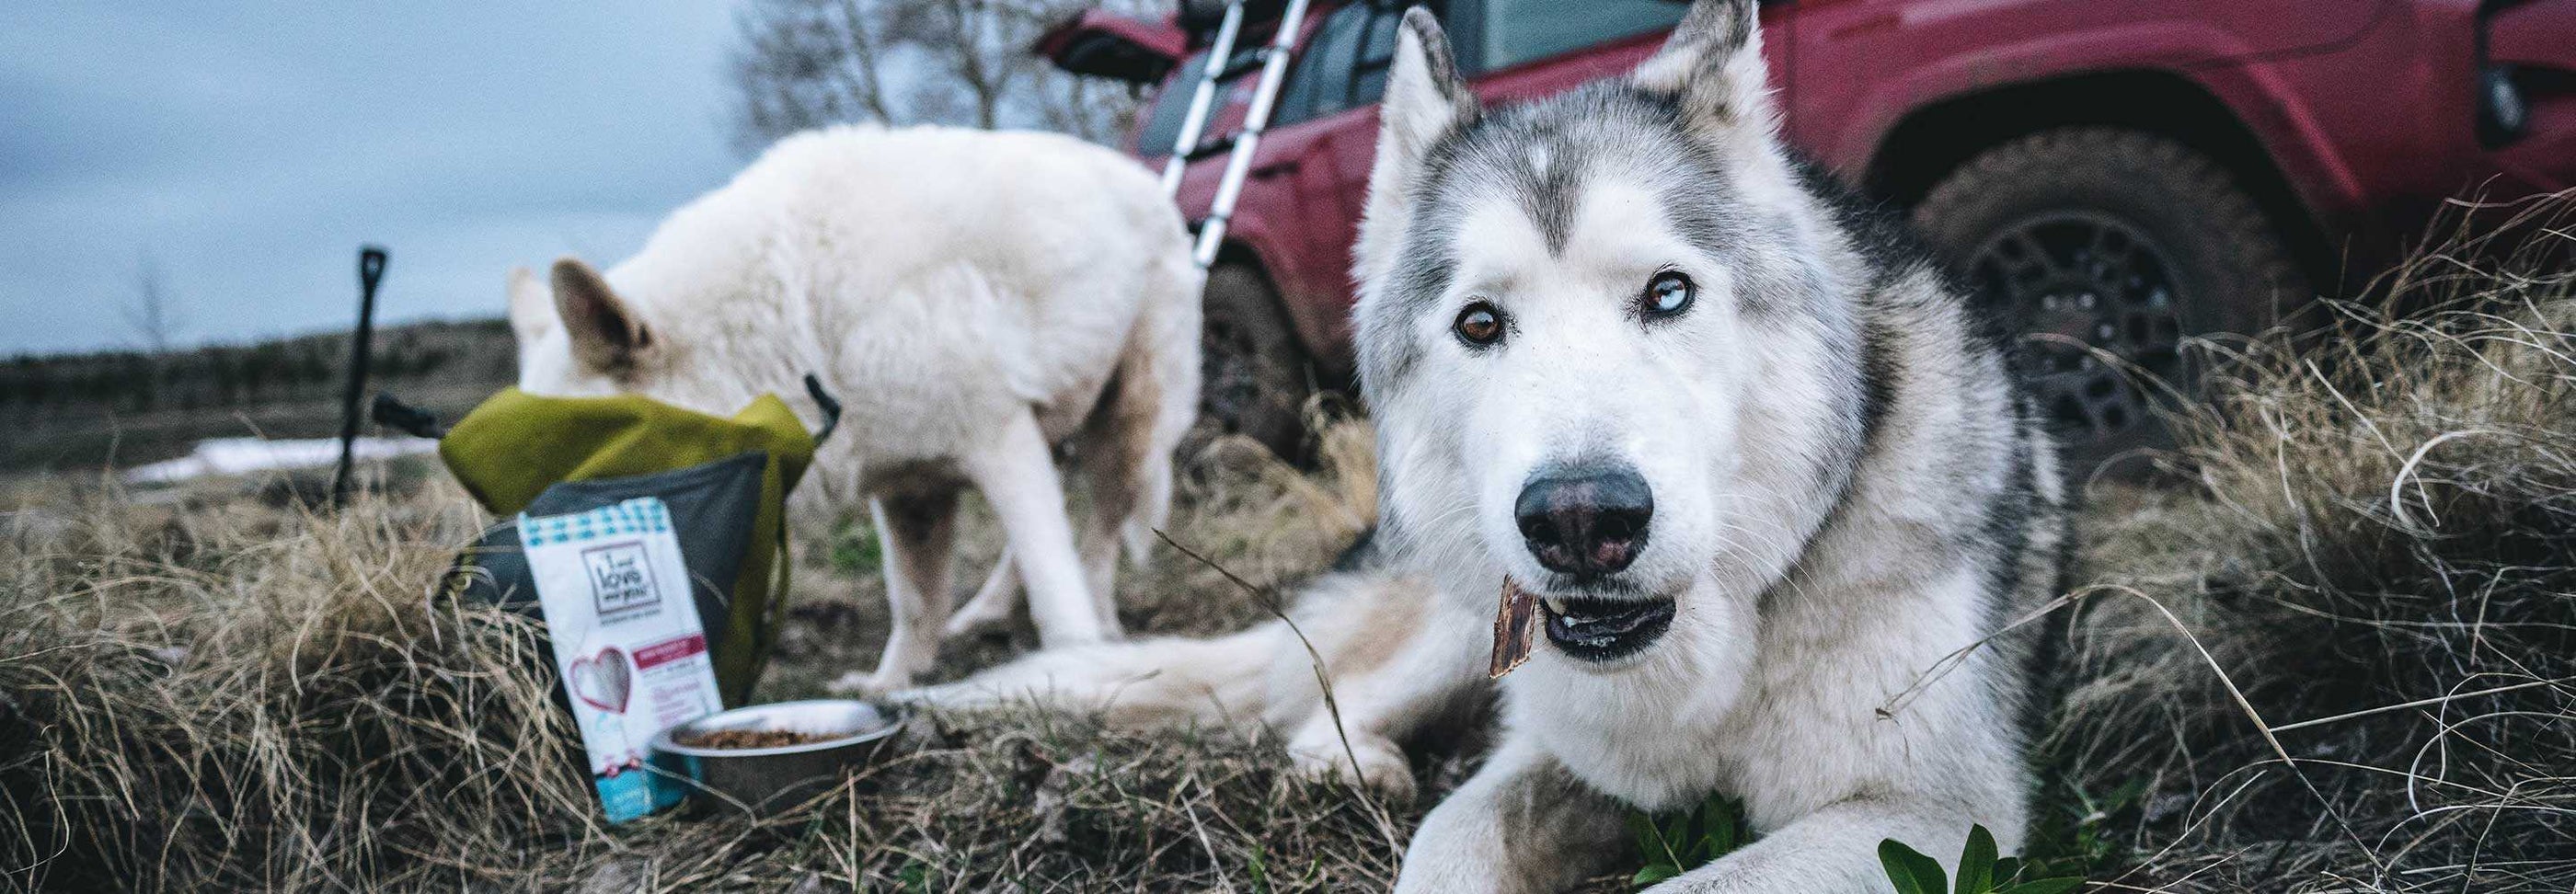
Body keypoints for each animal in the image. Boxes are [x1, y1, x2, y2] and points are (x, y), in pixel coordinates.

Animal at [507, 124, 1200, 695]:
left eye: (584, 443)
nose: (523, 594)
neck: (801, 318)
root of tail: (1146, 179)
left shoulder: (998, 443)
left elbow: (1052, 580)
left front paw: (1072, 663)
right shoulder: (909, 488)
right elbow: (913, 603)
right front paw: (888, 685)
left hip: (1128, 429)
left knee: (1099, 537)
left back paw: (1102, 629)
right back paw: (985, 613)